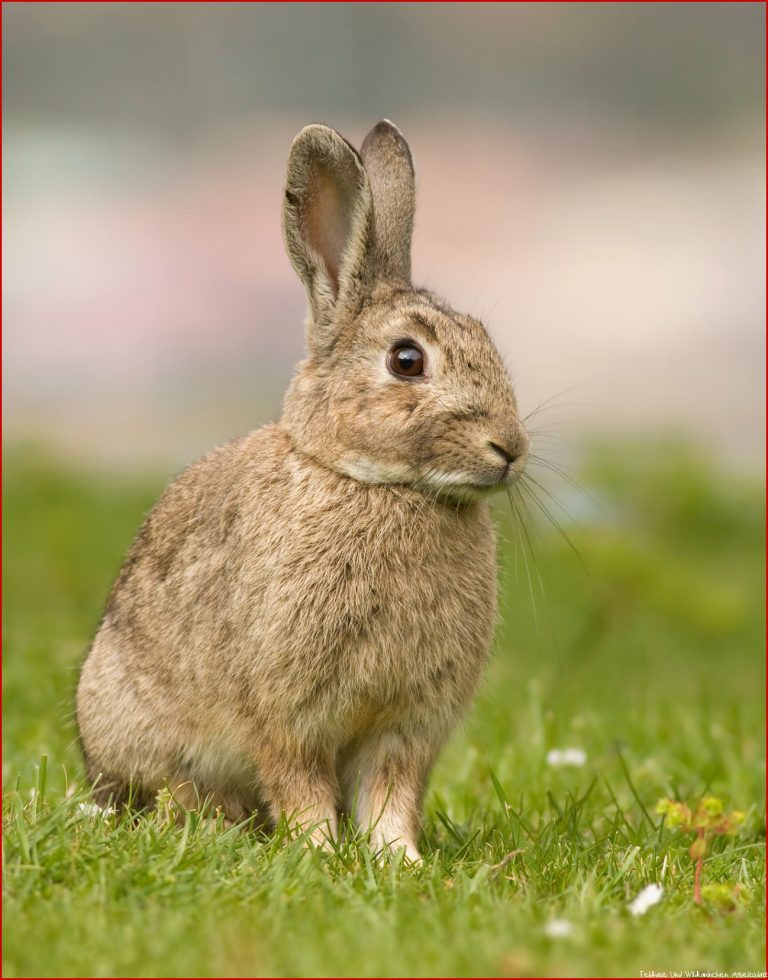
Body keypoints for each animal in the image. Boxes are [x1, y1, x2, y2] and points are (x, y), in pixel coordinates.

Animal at [78, 120, 532, 856]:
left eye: (486, 338)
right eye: (407, 360)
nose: (510, 449)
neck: (380, 485)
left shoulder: (406, 727)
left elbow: (391, 796)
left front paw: (399, 860)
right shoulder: (285, 713)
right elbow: (300, 784)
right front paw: (318, 851)